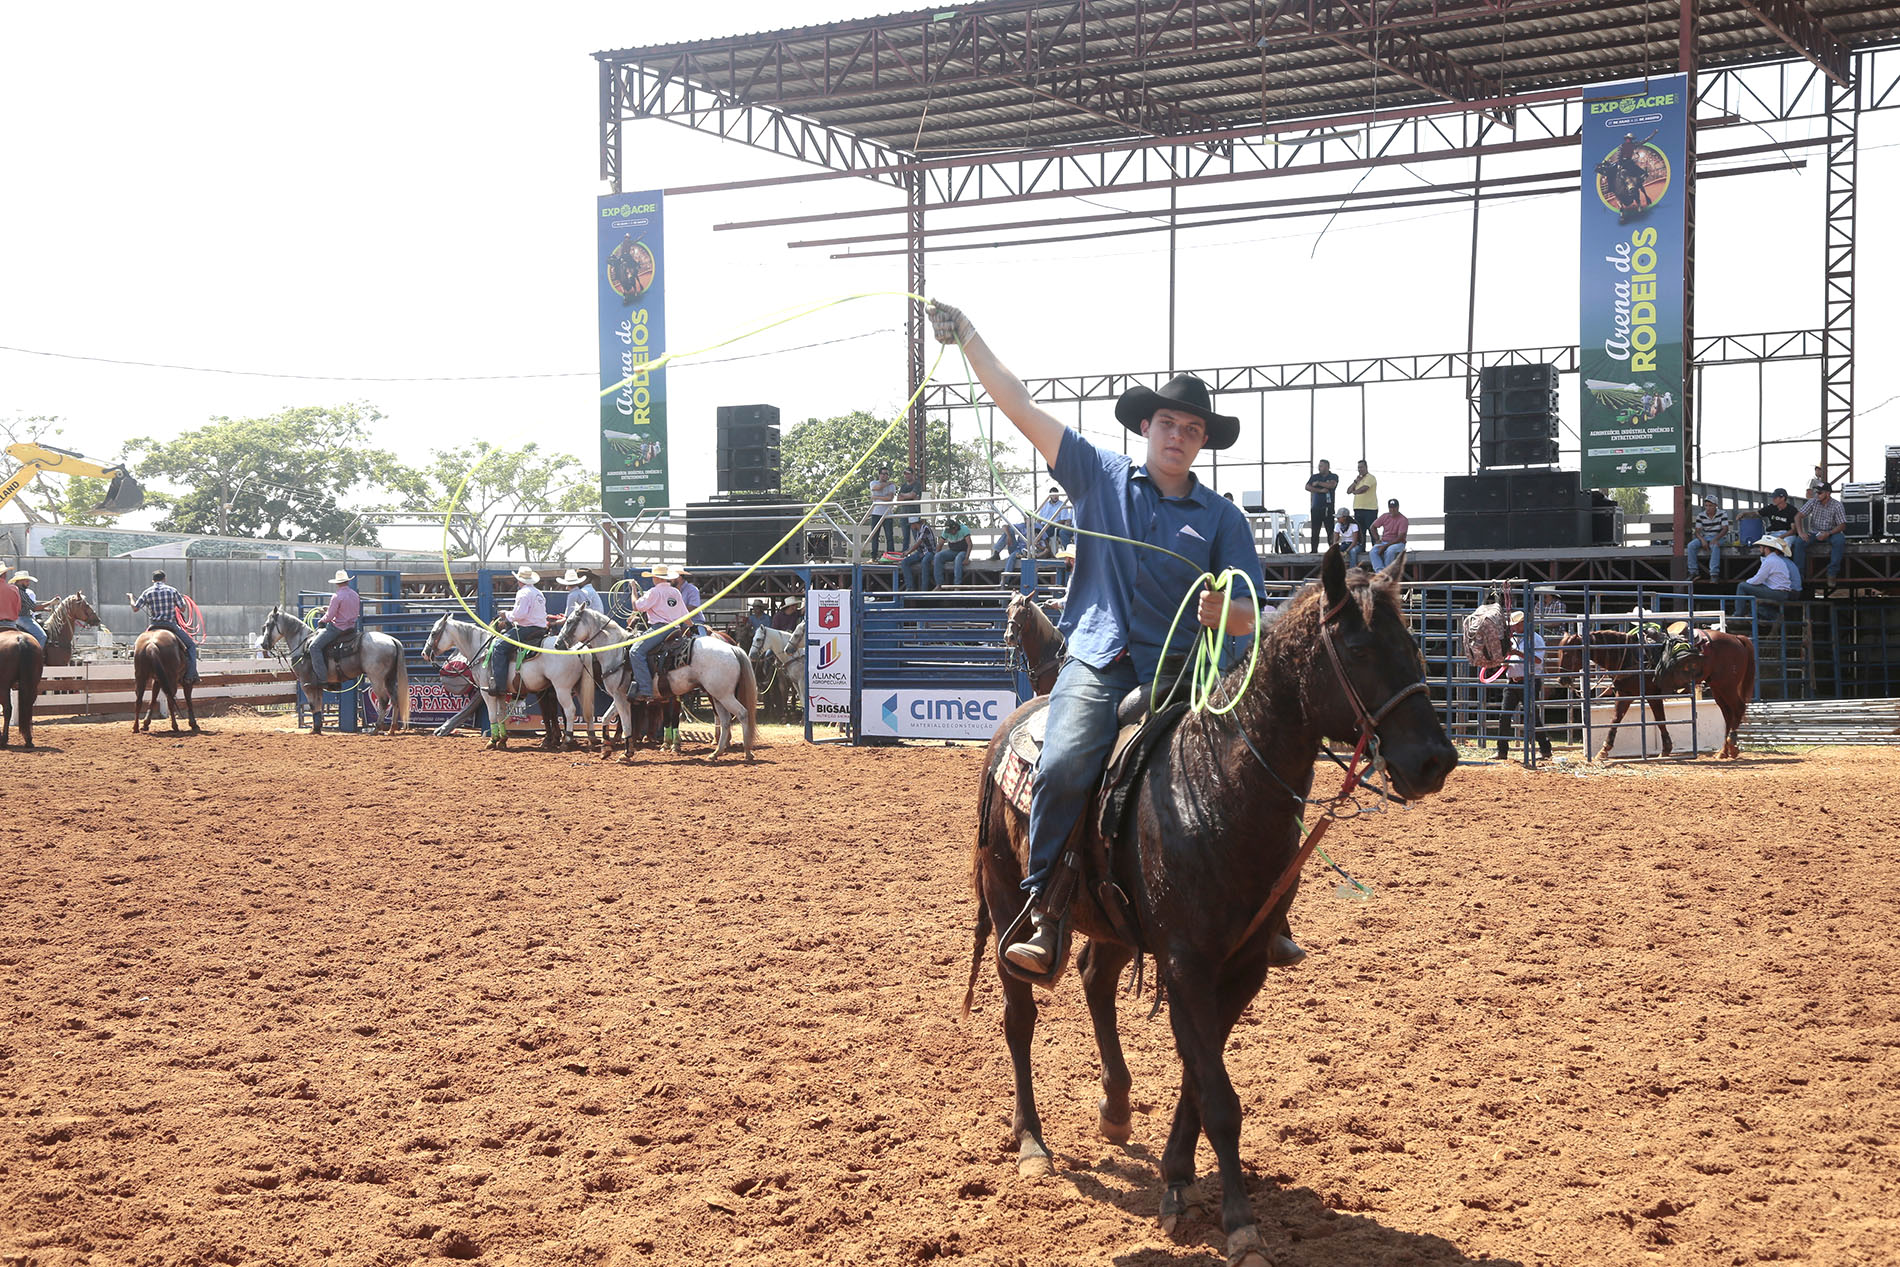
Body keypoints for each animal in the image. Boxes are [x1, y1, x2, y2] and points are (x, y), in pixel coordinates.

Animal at [258, 607, 410, 737]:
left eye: (267, 625)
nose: (264, 645)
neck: (303, 645)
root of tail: (392, 640)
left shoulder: (306, 684)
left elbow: (312, 705)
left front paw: (315, 729)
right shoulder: (317, 686)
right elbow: (318, 705)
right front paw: (317, 728)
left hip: (376, 678)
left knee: (384, 701)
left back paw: (376, 729)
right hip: (389, 678)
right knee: (395, 699)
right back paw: (391, 729)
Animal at [423, 615, 592, 752]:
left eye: (433, 633)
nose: (424, 653)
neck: (483, 652)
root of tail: (577, 648)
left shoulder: (486, 691)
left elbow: (492, 714)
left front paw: (492, 741)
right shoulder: (500, 692)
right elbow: (501, 714)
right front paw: (503, 740)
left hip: (561, 688)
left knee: (569, 710)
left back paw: (566, 741)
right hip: (575, 687)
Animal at [554, 604, 756, 763]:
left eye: (570, 622)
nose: (557, 645)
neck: (617, 652)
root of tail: (732, 647)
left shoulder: (620, 697)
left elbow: (626, 724)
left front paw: (627, 753)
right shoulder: (620, 696)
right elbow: (605, 718)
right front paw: (606, 749)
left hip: (724, 695)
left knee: (742, 714)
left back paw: (747, 752)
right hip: (718, 695)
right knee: (725, 720)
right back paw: (716, 753)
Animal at [965, 550, 1451, 1261]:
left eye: (1413, 645)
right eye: (1359, 648)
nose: (1435, 760)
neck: (1218, 785)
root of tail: (1011, 726)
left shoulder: (1241, 965)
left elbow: (1200, 1073)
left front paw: (1178, 1182)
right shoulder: (1187, 963)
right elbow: (1219, 1097)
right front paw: (1240, 1223)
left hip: (1112, 921)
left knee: (1095, 981)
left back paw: (1116, 1110)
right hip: (1007, 905)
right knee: (1019, 1016)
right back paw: (1032, 1144)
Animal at [1656, 626, 1755, 759]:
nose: (1657, 677)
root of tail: (1736, 638)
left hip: (1728, 686)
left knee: (1738, 708)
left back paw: (1732, 746)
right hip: (1718, 687)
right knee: (1728, 714)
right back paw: (1723, 751)